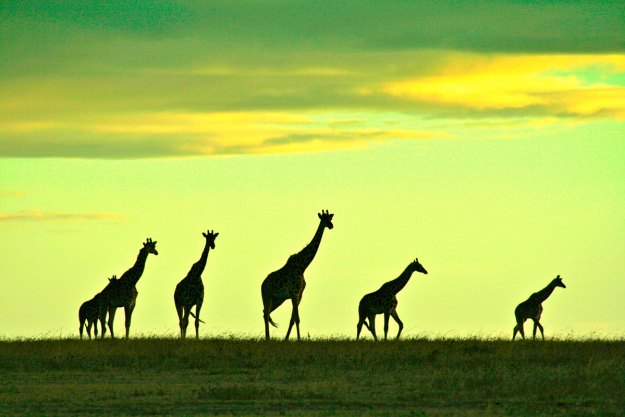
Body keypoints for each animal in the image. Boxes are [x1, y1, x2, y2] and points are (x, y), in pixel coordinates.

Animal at [260, 210, 334, 340]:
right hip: (267, 296)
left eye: (330, 218)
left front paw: (286, 339)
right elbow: (297, 319)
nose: (331, 226)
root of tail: (262, 284)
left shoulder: (299, 295)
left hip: (278, 299)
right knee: (265, 313)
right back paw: (267, 338)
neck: (302, 267)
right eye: (324, 219)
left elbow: (293, 319)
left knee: (266, 312)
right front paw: (299, 339)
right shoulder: (294, 294)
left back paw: (268, 338)